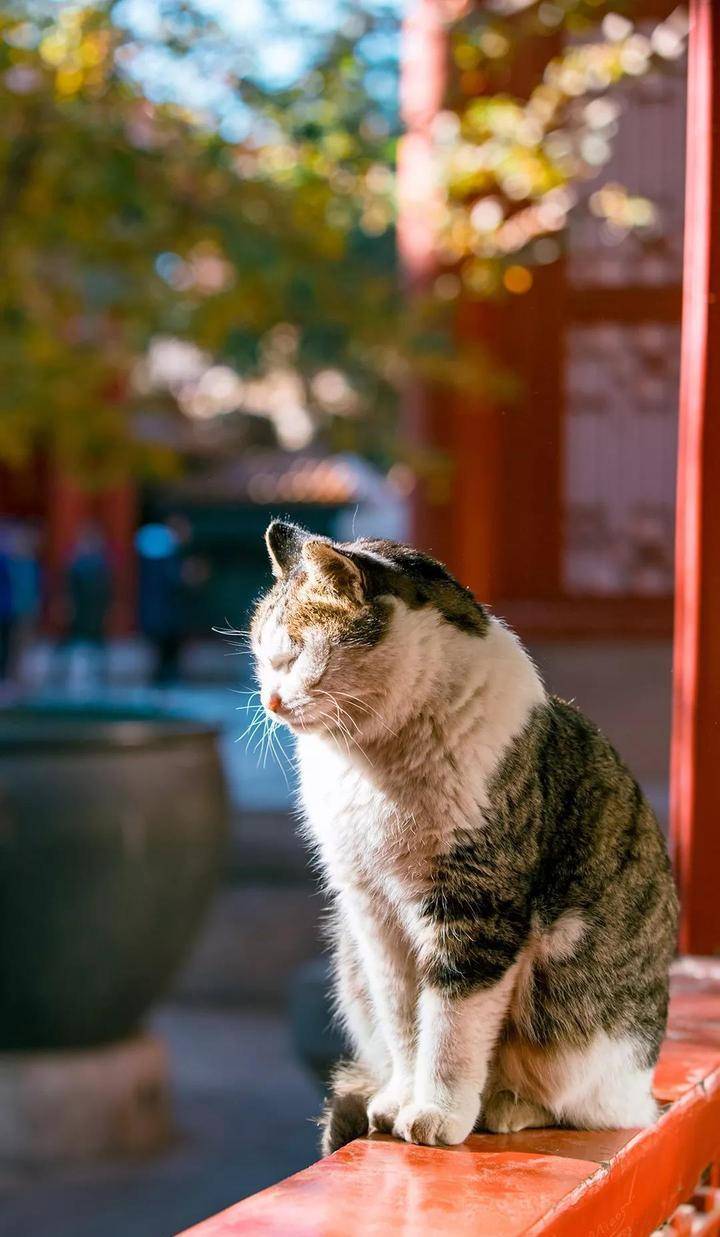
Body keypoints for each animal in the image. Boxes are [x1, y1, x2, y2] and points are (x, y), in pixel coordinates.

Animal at [251, 519, 677, 1147]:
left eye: (296, 653)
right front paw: (400, 1101)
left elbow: (451, 1028)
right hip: (350, 953)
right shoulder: (373, 913)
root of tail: (649, 1096)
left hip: (579, 1027)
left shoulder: (475, 909)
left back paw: (506, 1108)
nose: (271, 700)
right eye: (261, 657)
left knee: (586, 1106)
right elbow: (406, 1021)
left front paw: (436, 1115)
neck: (373, 763)